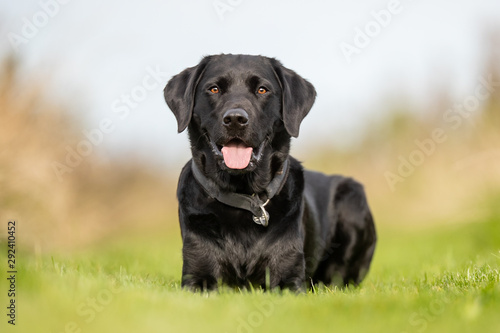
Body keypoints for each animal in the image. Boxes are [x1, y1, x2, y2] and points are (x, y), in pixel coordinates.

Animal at [164, 54, 376, 290]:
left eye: (262, 90)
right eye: (214, 89)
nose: (235, 119)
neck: (244, 197)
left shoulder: (289, 278)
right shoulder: (196, 276)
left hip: (352, 201)